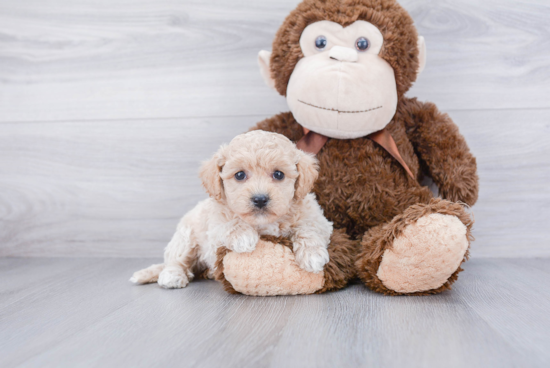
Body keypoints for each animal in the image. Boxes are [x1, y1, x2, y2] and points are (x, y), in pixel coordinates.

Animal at [132, 131, 334, 288]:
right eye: (239, 175)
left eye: (278, 174)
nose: (260, 199)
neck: (263, 223)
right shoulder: (214, 227)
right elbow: (228, 222)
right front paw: (243, 236)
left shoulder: (318, 219)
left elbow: (308, 228)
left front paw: (312, 254)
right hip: (185, 237)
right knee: (176, 260)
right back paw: (172, 275)